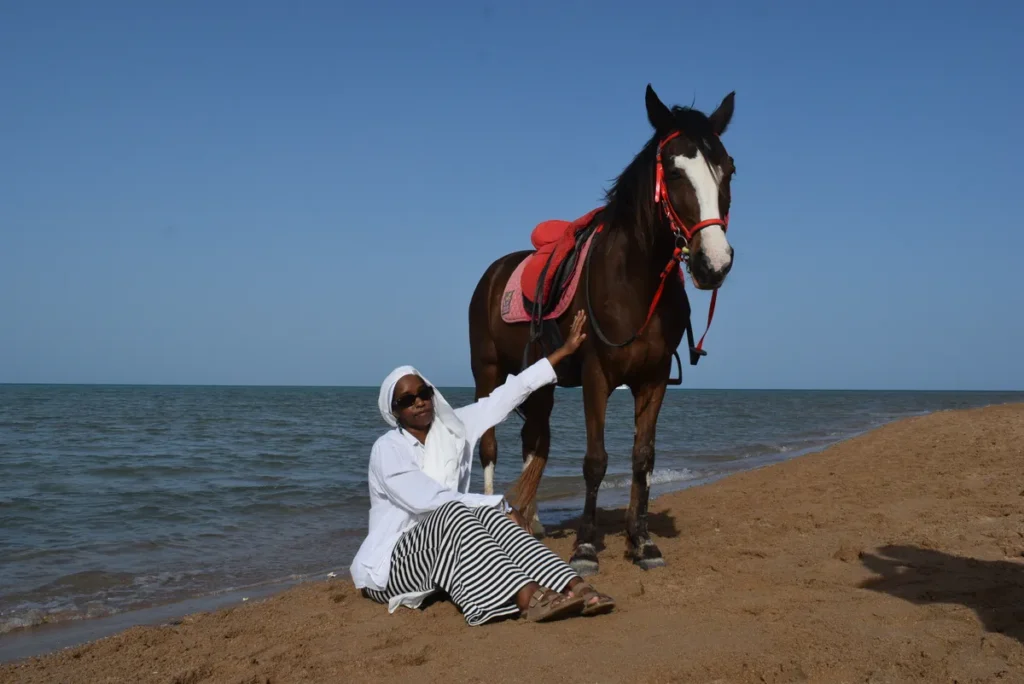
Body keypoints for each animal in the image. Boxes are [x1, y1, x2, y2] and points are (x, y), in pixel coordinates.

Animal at [467, 84, 737, 575]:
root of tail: (494, 272)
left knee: (534, 440)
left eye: (728, 170)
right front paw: (587, 547)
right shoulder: (597, 375)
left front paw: (642, 541)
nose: (715, 263)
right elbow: (595, 461)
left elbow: (642, 459)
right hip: (488, 372)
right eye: (673, 171)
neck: (635, 282)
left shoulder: (652, 380)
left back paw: (531, 521)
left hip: (541, 384)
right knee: (490, 443)